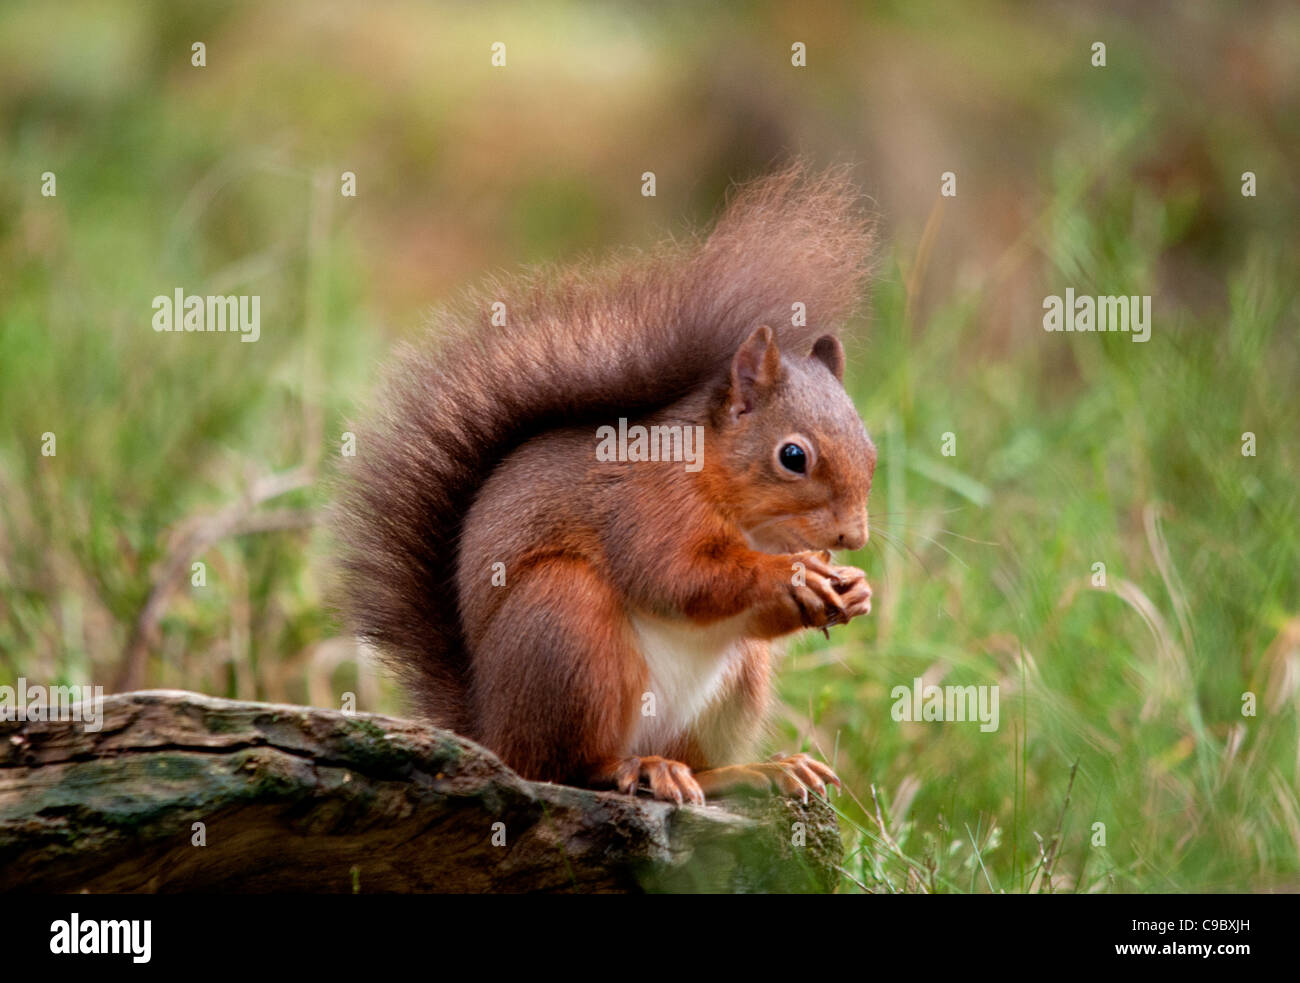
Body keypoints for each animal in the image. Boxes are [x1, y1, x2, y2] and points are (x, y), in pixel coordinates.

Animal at [335, 163, 878, 806]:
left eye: (872, 451)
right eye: (793, 456)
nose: (854, 538)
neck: (746, 516)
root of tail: (490, 731)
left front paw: (855, 588)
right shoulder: (646, 505)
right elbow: (677, 576)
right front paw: (793, 573)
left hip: (738, 682)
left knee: (697, 760)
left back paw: (753, 771)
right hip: (566, 623)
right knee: (566, 765)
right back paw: (633, 769)